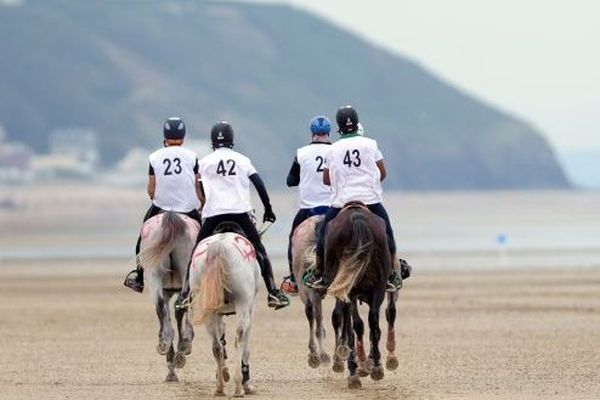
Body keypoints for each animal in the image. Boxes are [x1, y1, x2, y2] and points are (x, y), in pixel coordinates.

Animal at [138, 211, 199, 382]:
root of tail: (172, 216)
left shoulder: (165, 291)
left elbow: (165, 314)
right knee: (182, 306)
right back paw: (183, 346)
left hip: (154, 274)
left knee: (163, 309)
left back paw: (166, 344)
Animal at [189, 231, 258, 396]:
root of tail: (219, 246)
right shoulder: (250, 308)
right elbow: (245, 347)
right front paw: (247, 383)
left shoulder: (218, 313)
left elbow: (221, 337)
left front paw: (223, 372)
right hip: (242, 304)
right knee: (239, 338)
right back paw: (239, 386)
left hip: (209, 311)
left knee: (216, 346)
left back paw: (219, 387)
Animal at [324, 203, 394, 388]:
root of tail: (357, 218)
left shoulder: (350, 293)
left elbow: (348, 324)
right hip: (377, 286)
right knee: (371, 320)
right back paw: (373, 366)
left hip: (354, 289)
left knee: (355, 323)